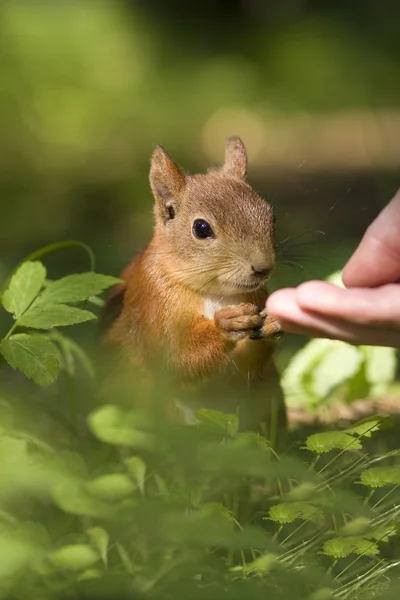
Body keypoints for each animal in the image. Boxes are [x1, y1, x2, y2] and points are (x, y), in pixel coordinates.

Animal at [100, 136, 288, 446]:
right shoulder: (155, 303)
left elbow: (248, 370)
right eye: (201, 228)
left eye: (271, 217)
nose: (263, 268)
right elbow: (173, 359)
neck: (217, 294)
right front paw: (227, 325)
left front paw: (273, 321)